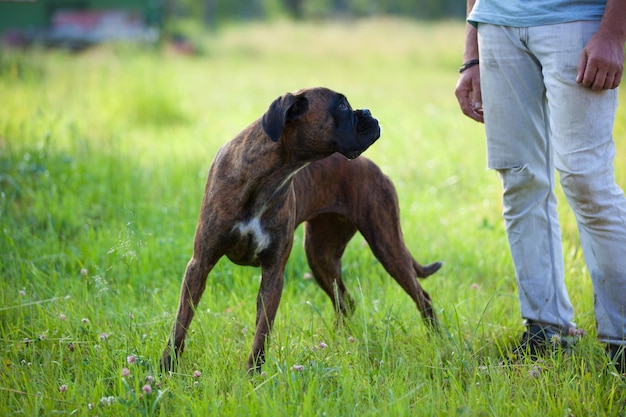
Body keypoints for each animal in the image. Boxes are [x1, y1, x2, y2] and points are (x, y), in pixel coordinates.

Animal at [162, 86, 444, 372]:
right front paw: (167, 367)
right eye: (342, 105)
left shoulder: (273, 274)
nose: (367, 112)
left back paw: (440, 345)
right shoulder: (200, 264)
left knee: (422, 297)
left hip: (386, 245)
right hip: (322, 257)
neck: (268, 175)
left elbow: (262, 331)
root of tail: (376, 169)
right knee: (346, 302)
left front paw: (253, 374)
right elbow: (181, 322)